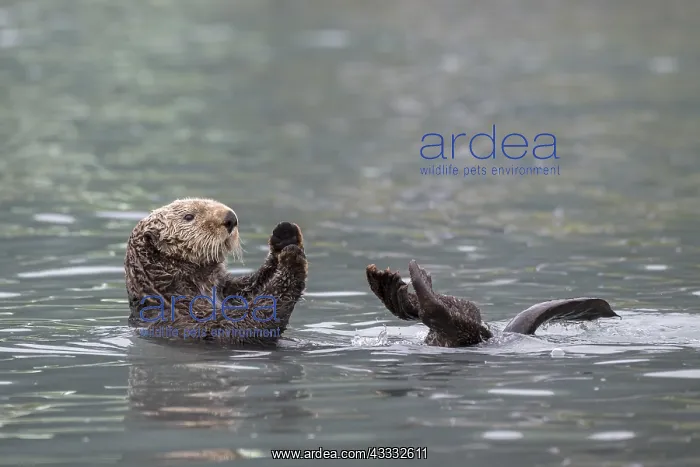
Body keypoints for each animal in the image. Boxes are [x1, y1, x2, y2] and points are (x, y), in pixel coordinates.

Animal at [124, 198, 308, 346]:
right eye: (189, 217)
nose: (231, 218)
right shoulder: (189, 319)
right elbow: (247, 324)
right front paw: (292, 259)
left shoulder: (229, 289)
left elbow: (252, 285)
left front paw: (286, 234)